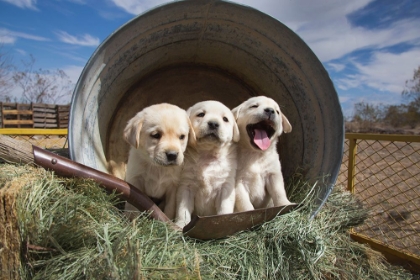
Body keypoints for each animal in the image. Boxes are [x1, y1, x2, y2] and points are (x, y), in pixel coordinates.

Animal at [175, 100, 240, 228]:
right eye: (201, 114)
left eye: (225, 119)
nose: (214, 124)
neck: (207, 154)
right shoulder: (186, 186)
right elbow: (182, 209)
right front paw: (180, 225)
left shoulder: (226, 187)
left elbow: (224, 208)